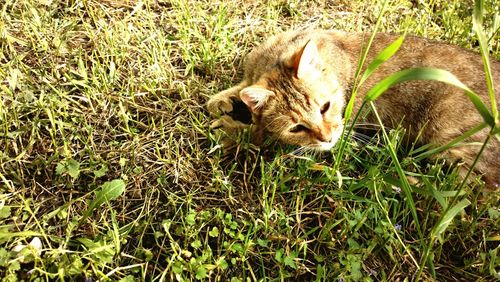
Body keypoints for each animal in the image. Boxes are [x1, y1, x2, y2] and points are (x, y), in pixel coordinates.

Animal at [207, 29, 500, 189]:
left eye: (325, 107)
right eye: (297, 127)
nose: (328, 138)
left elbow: (255, 132)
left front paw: (231, 127)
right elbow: (236, 92)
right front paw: (225, 105)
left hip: (451, 139)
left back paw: (402, 180)